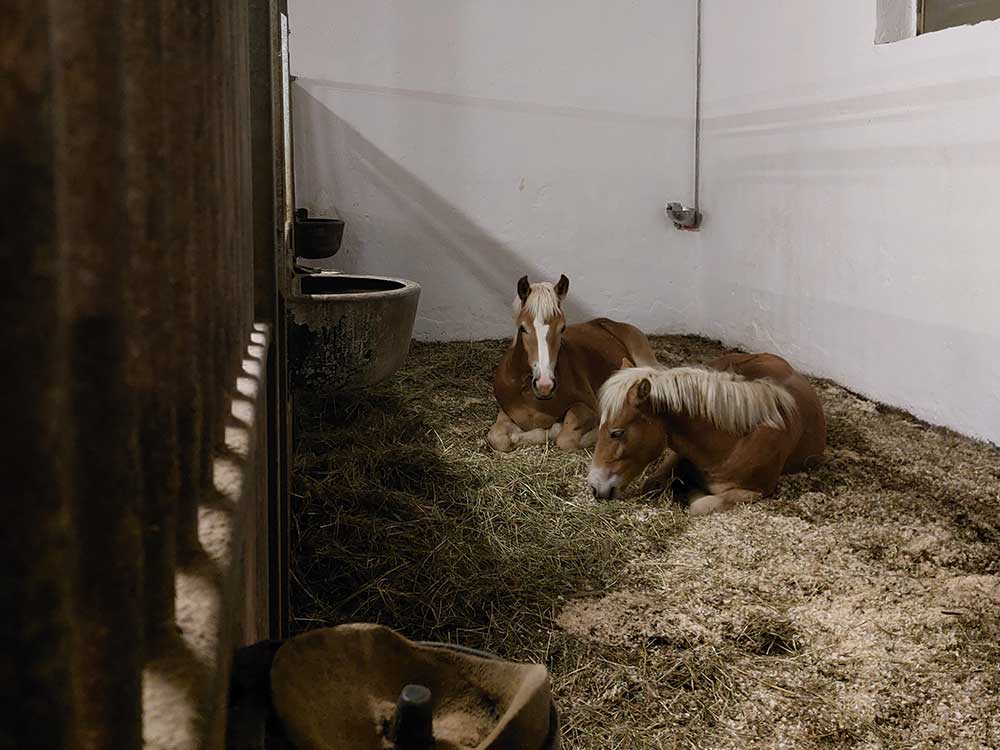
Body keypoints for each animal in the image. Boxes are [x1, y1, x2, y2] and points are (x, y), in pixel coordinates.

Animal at [490, 274, 660, 452]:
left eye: (562, 328)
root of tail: (608, 322)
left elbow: (566, 438)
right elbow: (497, 438)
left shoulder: (589, 408)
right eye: (522, 328)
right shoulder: (506, 412)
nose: (545, 385)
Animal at [584, 352, 828, 516]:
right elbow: (651, 483)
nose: (595, 487)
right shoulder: (679, 450)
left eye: (617, 432)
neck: (733, 442)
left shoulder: (756, 491)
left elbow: (699, 505)